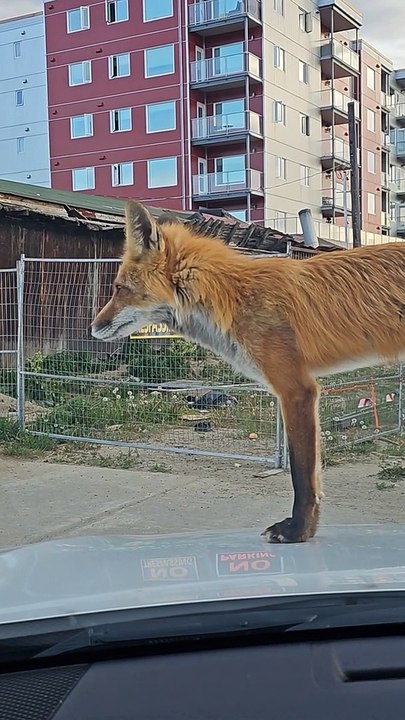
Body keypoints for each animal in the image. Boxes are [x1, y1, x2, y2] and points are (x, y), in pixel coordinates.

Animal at [92, 200, 405, 543]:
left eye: (119, 288)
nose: (92, 327)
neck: (234, 298)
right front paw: (305, 530)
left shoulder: (297, 390)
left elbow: (302, 476)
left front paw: (297, 531)